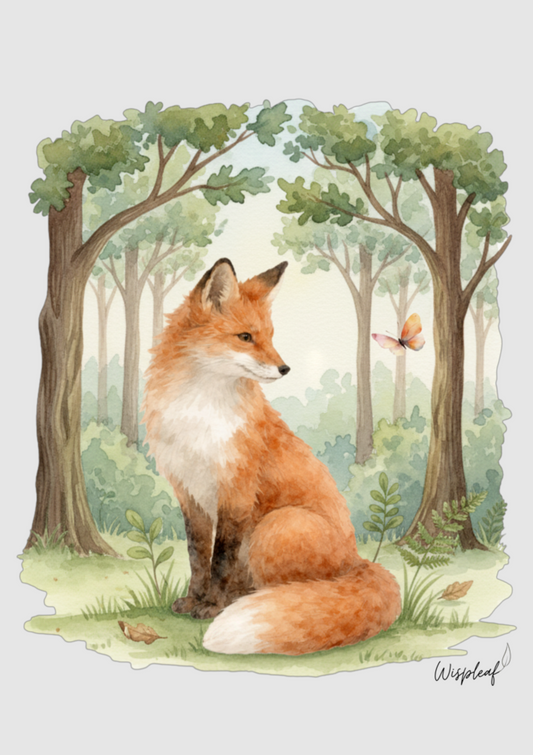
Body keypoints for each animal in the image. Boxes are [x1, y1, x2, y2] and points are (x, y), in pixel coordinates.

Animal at [142, 258, 401, 655]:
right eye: (246, 337)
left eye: (270, 336)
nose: (285, 369)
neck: (198, 411)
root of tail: (357, 560)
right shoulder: (190, 493)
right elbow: (198, 557)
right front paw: (193, 599)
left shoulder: (235, 492)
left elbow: (220, 560)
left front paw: (211, 605)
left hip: (274, 527)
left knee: (289, 590)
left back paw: (244, 600)